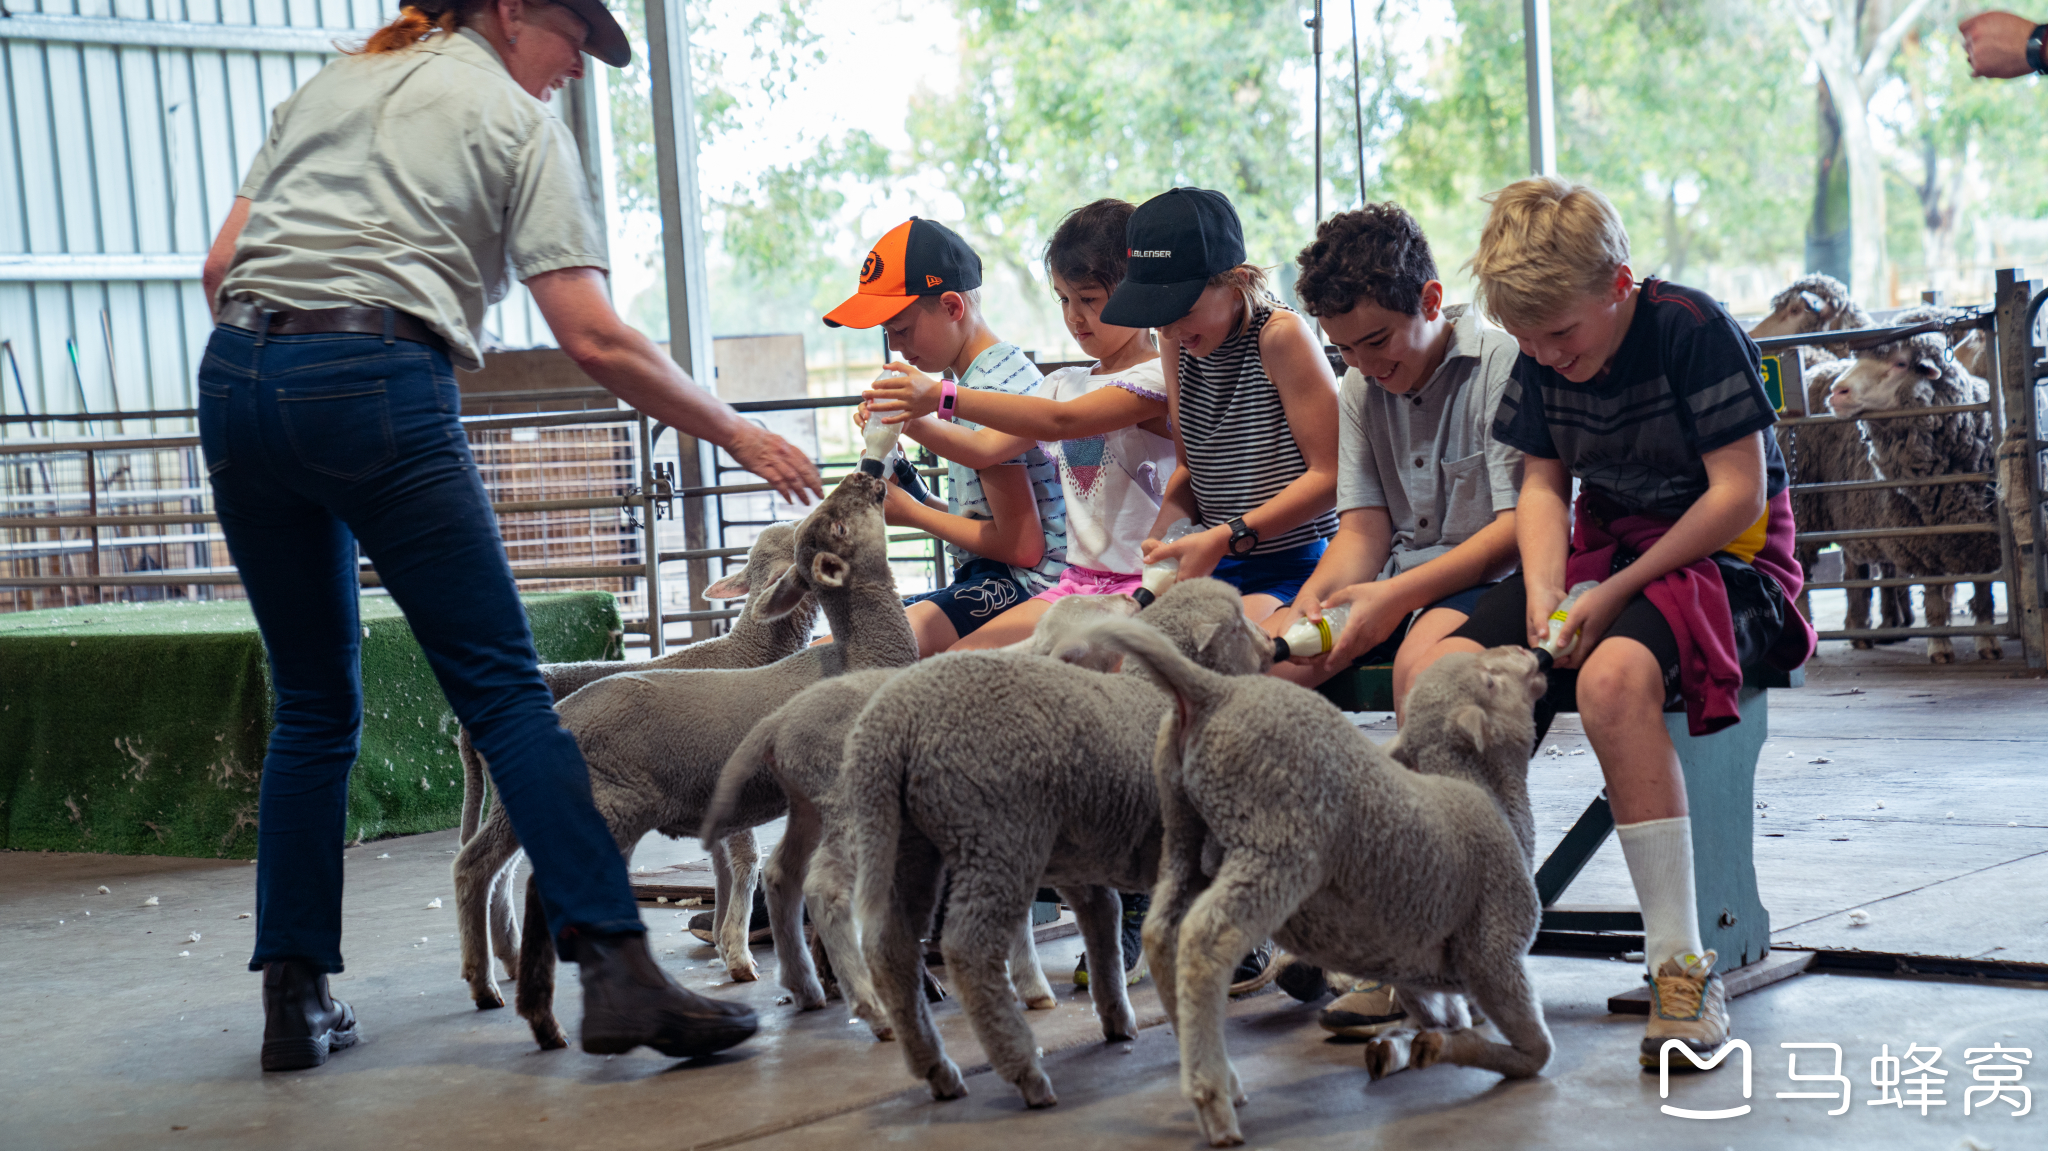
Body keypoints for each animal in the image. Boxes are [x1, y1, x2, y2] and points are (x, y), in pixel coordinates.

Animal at [458, 520, 823, 987]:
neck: (750, 652)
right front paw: (737, 952)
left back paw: (508, 956)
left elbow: (721, 866)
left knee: (500, 869)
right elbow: (742, 861)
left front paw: (722, 939)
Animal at [843, 577, 1261, 1105]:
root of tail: (892, 725)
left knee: (891, 948)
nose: (1273, 645)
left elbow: (1104, 931)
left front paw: (1117, 1018)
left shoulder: (1086, 869)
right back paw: (1024, 1071)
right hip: (994, 833)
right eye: (1240, 624)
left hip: (904, 842)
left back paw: (937, 1068)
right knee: (968, 948)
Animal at [1089, 618, 1548, 1146]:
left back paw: (1217, 1070)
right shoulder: (1494, 951)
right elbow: (1535, 1053)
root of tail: (1214, 690)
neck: (1489, 795)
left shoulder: (1414, 969)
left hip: (1186, 835)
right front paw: (1458, 1049)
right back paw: (1214, 1100)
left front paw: (1414, 1046)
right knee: (1206, 940)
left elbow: (1440, 1019)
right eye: (1491, 681)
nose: (1528, 650)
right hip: (1277, 842)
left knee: (1162, 933)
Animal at [1826, 305, 1998, 663]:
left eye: (1900, 363)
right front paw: (1940, 647)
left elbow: (1983, 591)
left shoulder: (1985, 533)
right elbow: (1933, 597)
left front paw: (1988, 641)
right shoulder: (1922, 541)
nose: (1837, 392)